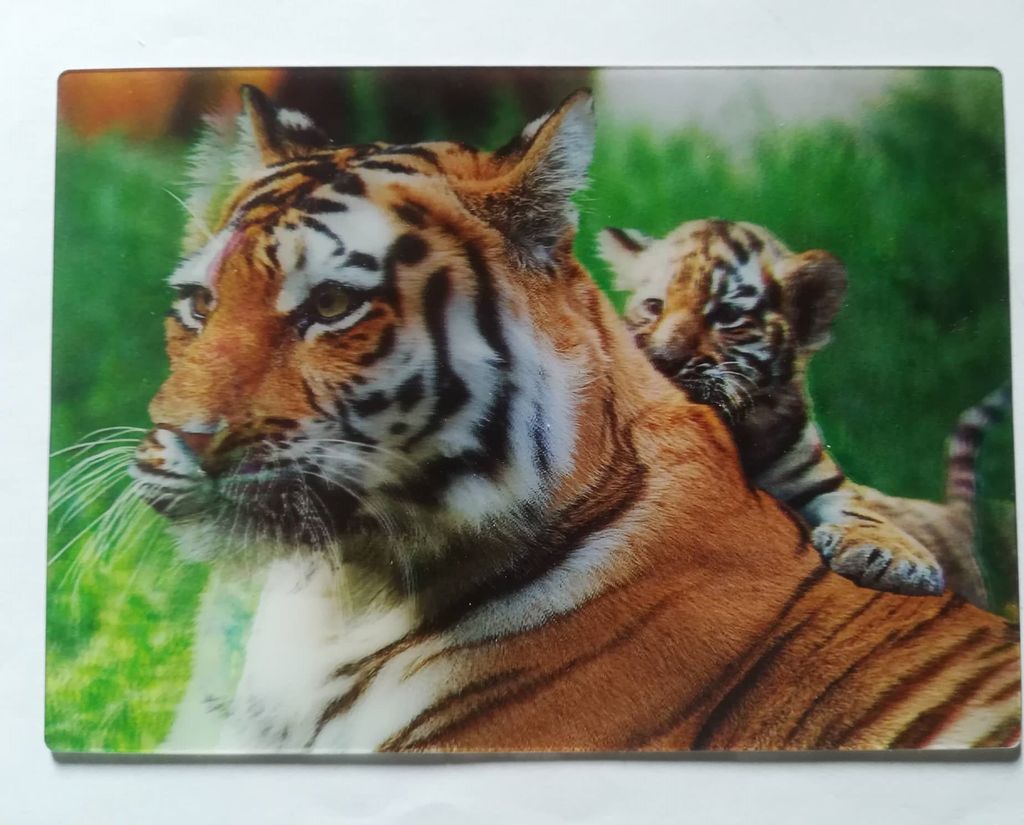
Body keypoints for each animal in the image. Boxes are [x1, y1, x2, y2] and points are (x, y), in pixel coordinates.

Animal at [599, 218, 1009, 608]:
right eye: (655, 306)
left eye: (727, 314)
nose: (663, 359)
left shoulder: (817, 477)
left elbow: (865, 513)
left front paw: (898, 560)